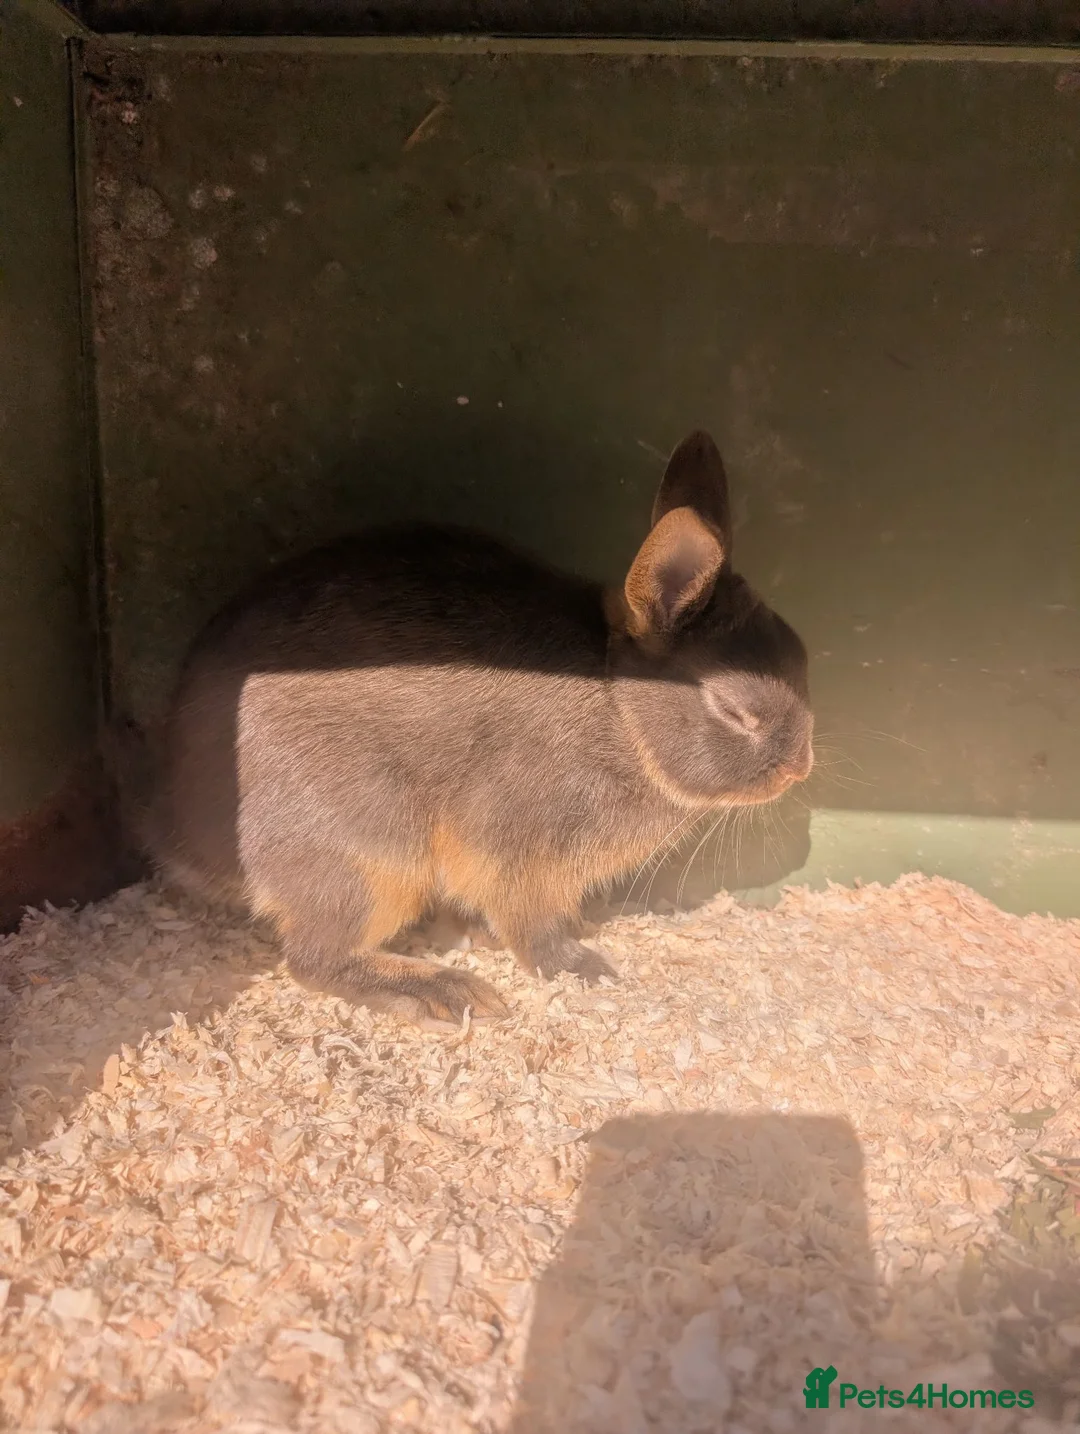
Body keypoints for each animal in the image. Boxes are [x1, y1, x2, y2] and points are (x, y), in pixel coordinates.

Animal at [146, 430, 813, 1023]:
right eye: (734, 709)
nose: (798, 768)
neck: (620, 717)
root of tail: (188, 844)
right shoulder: (521, 851)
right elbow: (532, 925)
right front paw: (581, 967)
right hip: (372, 855)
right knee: (314, 959)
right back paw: (443, 993)